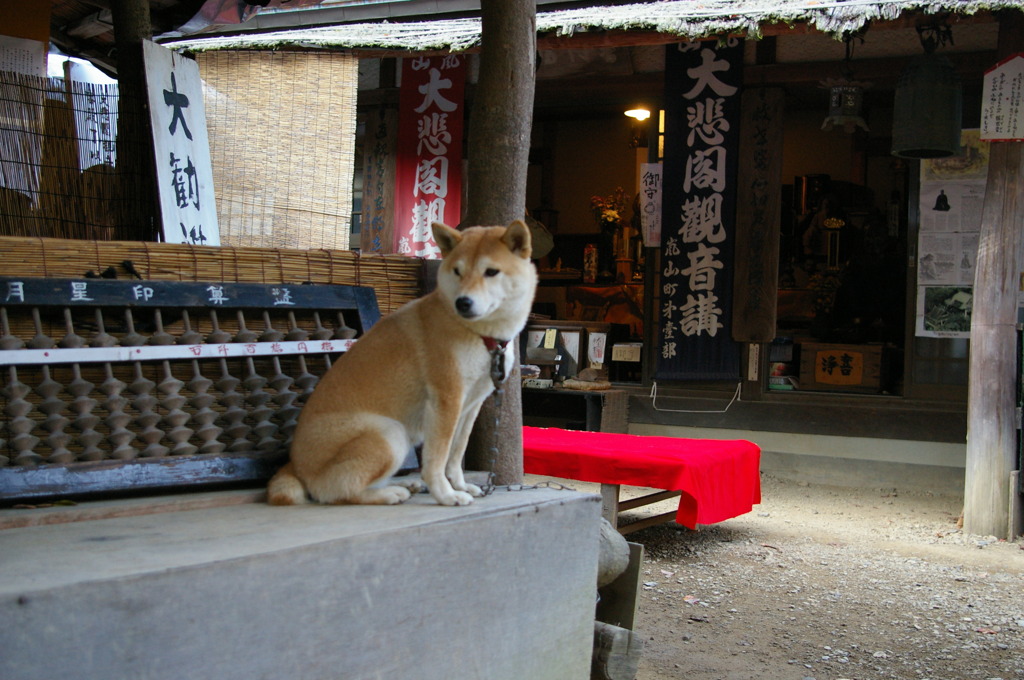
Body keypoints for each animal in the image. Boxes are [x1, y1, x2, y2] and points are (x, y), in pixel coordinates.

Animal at [266, 218, 536, 503]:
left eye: (491, 272)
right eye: (457, 271)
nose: (463, 302)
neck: (481, 336)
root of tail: (295, 465)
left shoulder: (471, 404)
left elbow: (455, 454)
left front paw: (460, 486)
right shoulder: (446, 400)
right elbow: (437, 459)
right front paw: (446, 494)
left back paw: (404, 485)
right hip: (390, 432)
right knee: (338, 491)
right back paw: (390, 493)